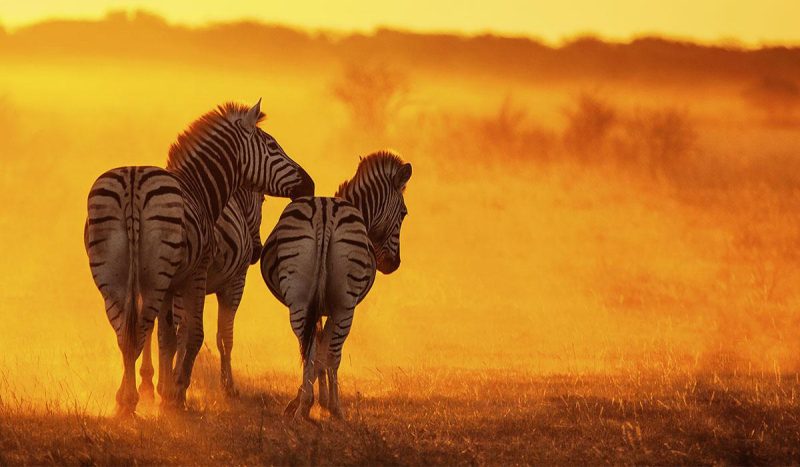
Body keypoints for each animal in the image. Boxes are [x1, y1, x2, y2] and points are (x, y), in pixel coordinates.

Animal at [137, 188, 265, 399]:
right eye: (262, 200)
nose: (257, 252)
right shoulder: (235, 283)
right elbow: (225, 335)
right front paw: (228, 386)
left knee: (148, 324)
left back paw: (148, 383)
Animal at [260, 150, 411, 420]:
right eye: (403, 213)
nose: (393, 264)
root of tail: (325, 213)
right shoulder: (332, 308)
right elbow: (325, 353)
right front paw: (323, 402)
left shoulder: (317, 308)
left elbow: (316, 350)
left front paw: (303, 401)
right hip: (345, 304)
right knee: (333, 353)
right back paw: (336, 408)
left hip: (299, 299)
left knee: (307, 348)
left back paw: (304, 406)